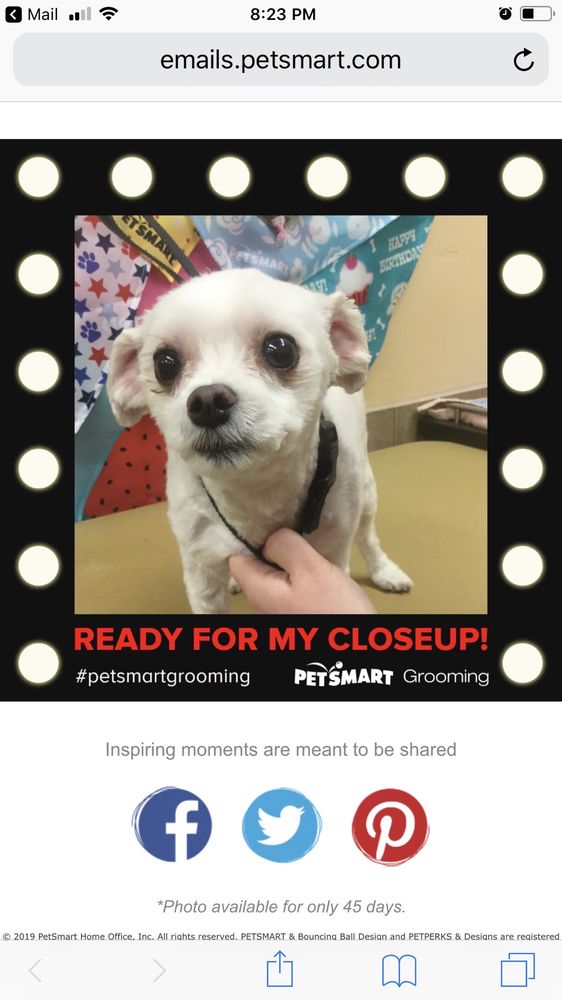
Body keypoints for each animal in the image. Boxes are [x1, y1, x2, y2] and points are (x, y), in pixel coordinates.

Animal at [108, 268, 412, 613]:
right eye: (165, 363)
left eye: (280, 348)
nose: (208, 402)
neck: (256, 494)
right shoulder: (201, 568)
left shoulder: (331, 552)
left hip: (365, 493)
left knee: (368, 536)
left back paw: (385, 571)